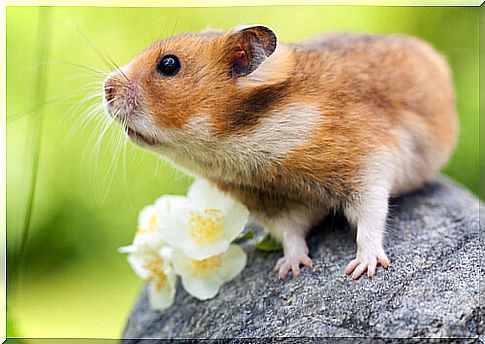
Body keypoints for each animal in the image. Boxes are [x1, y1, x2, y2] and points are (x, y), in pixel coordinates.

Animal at [103, 26, 458, 280]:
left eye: (168, 64)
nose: (106, 88)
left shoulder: (367, 165)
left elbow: (370, 218)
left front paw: (363, 269)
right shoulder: (270, 202)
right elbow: (291, 233)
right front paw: (291, 270)